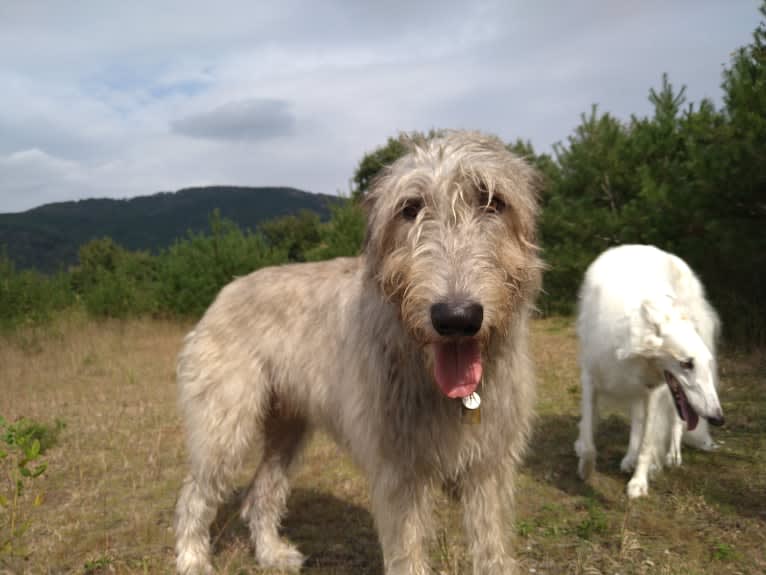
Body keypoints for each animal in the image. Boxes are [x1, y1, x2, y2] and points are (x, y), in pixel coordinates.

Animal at [576, 245, 728, 498]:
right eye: (687, 363)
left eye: (704, 362)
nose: (719, 419)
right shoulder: (590, 377)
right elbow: (588, 441)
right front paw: (586, 470)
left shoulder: (655, 390)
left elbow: (647, 443)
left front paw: (639, 483)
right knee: (639, 420)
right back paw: (629, 457)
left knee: (675, 420)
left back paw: (671, 456)